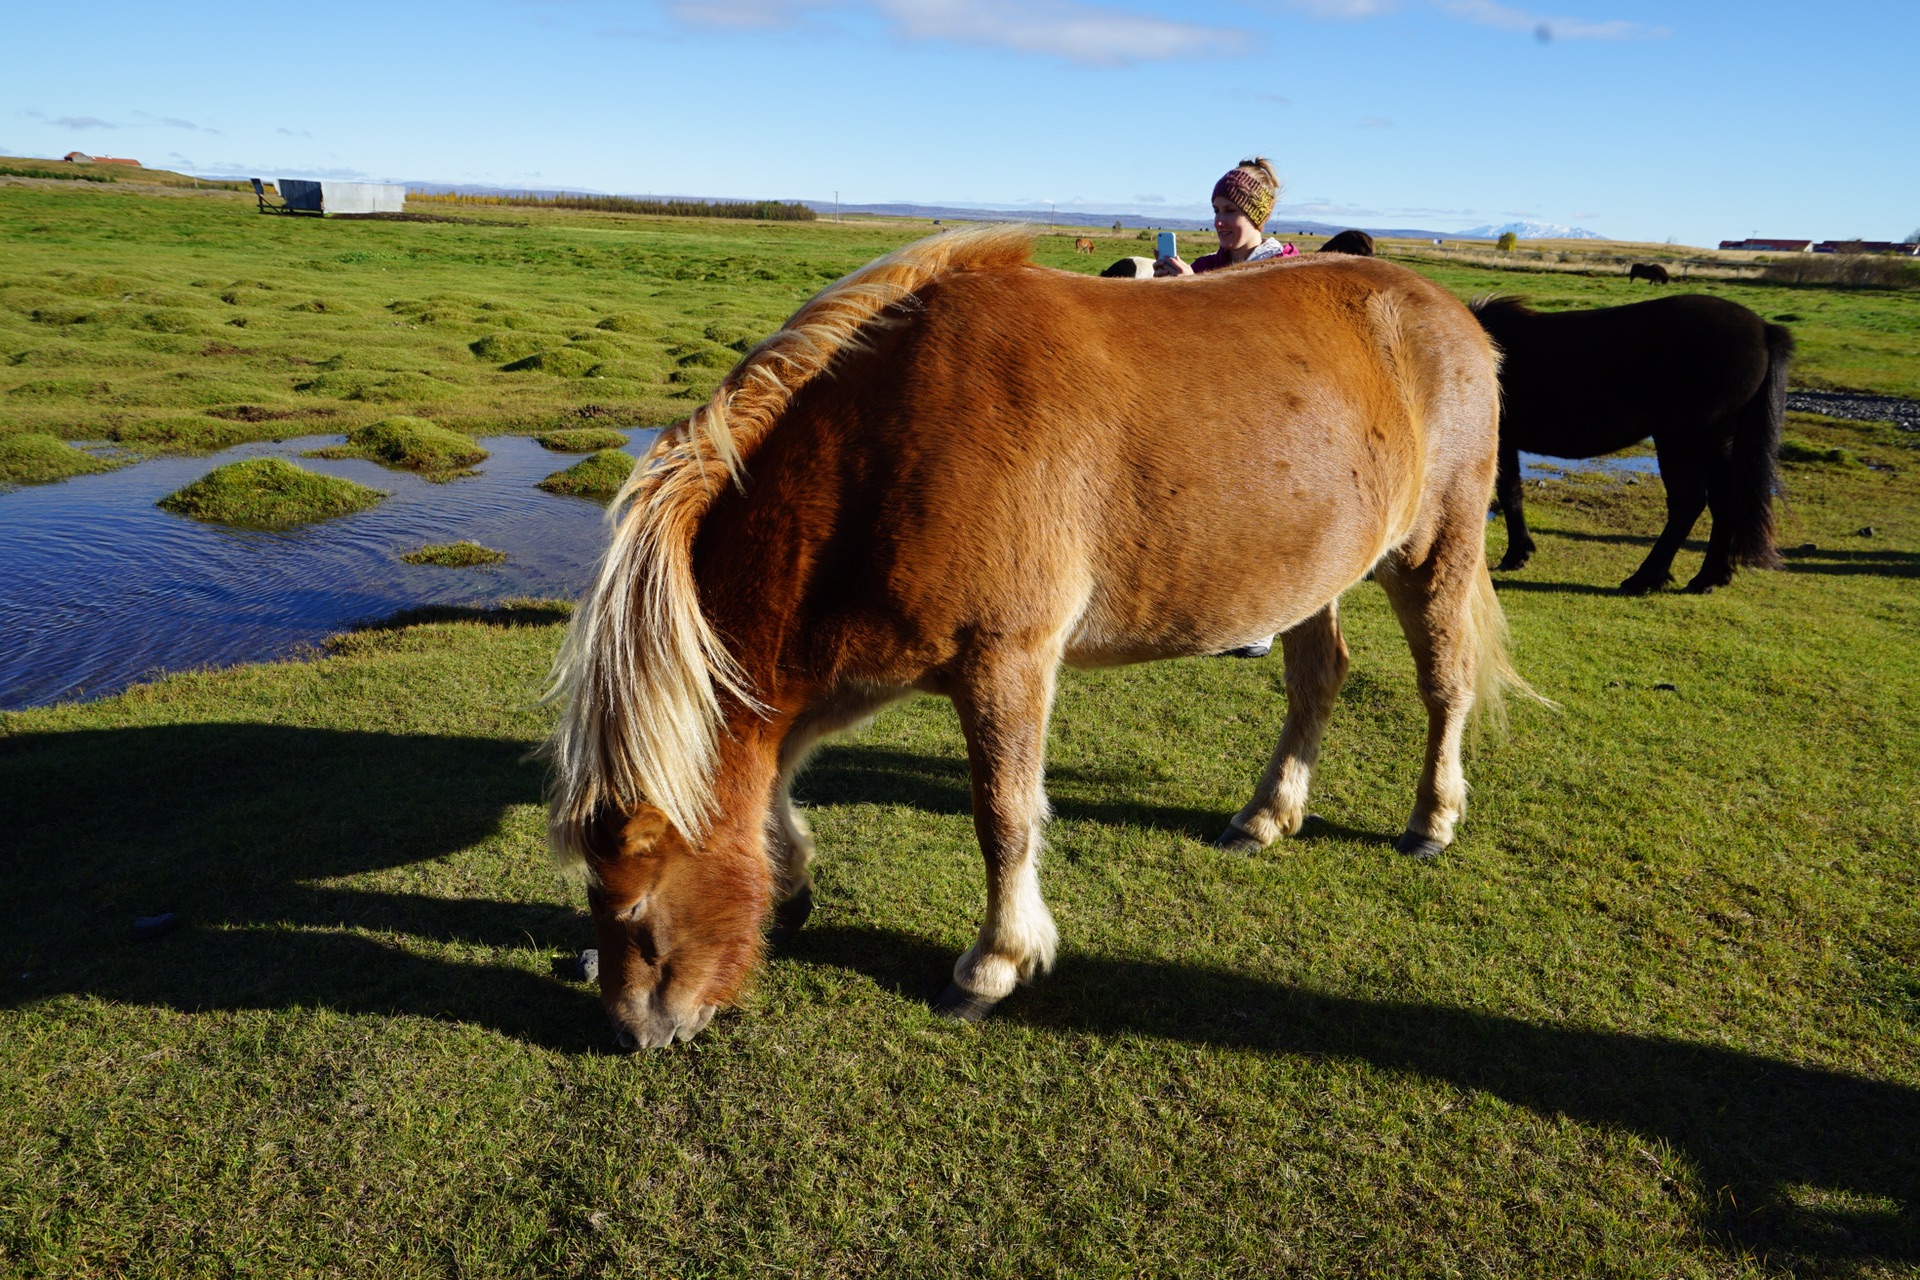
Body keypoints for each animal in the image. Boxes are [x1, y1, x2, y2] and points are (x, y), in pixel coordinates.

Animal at [545, 230, 1528, 1051]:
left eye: (634, 914)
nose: (635, 1032)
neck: (883, 448)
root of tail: (1453, 316)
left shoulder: (1005, 660)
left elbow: (1004, 819)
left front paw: (992, 967)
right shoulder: (860, 668)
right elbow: (779, 774)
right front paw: (790, 886)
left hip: (1431, 549)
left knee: (1444, 683)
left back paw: (1433, 820)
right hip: (1310, 574)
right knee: (1319, 679)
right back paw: (1266, 816)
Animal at [1466, 295, 1797, 594]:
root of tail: (1764, 329)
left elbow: (1506, 493)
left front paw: (1514, 555)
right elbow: (1512, 493)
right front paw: (1519, 553)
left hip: (1681, 442)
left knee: (1687, 505)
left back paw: (1645, 578)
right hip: (1717, 446)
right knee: (1723, 505)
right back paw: (1708, 578)